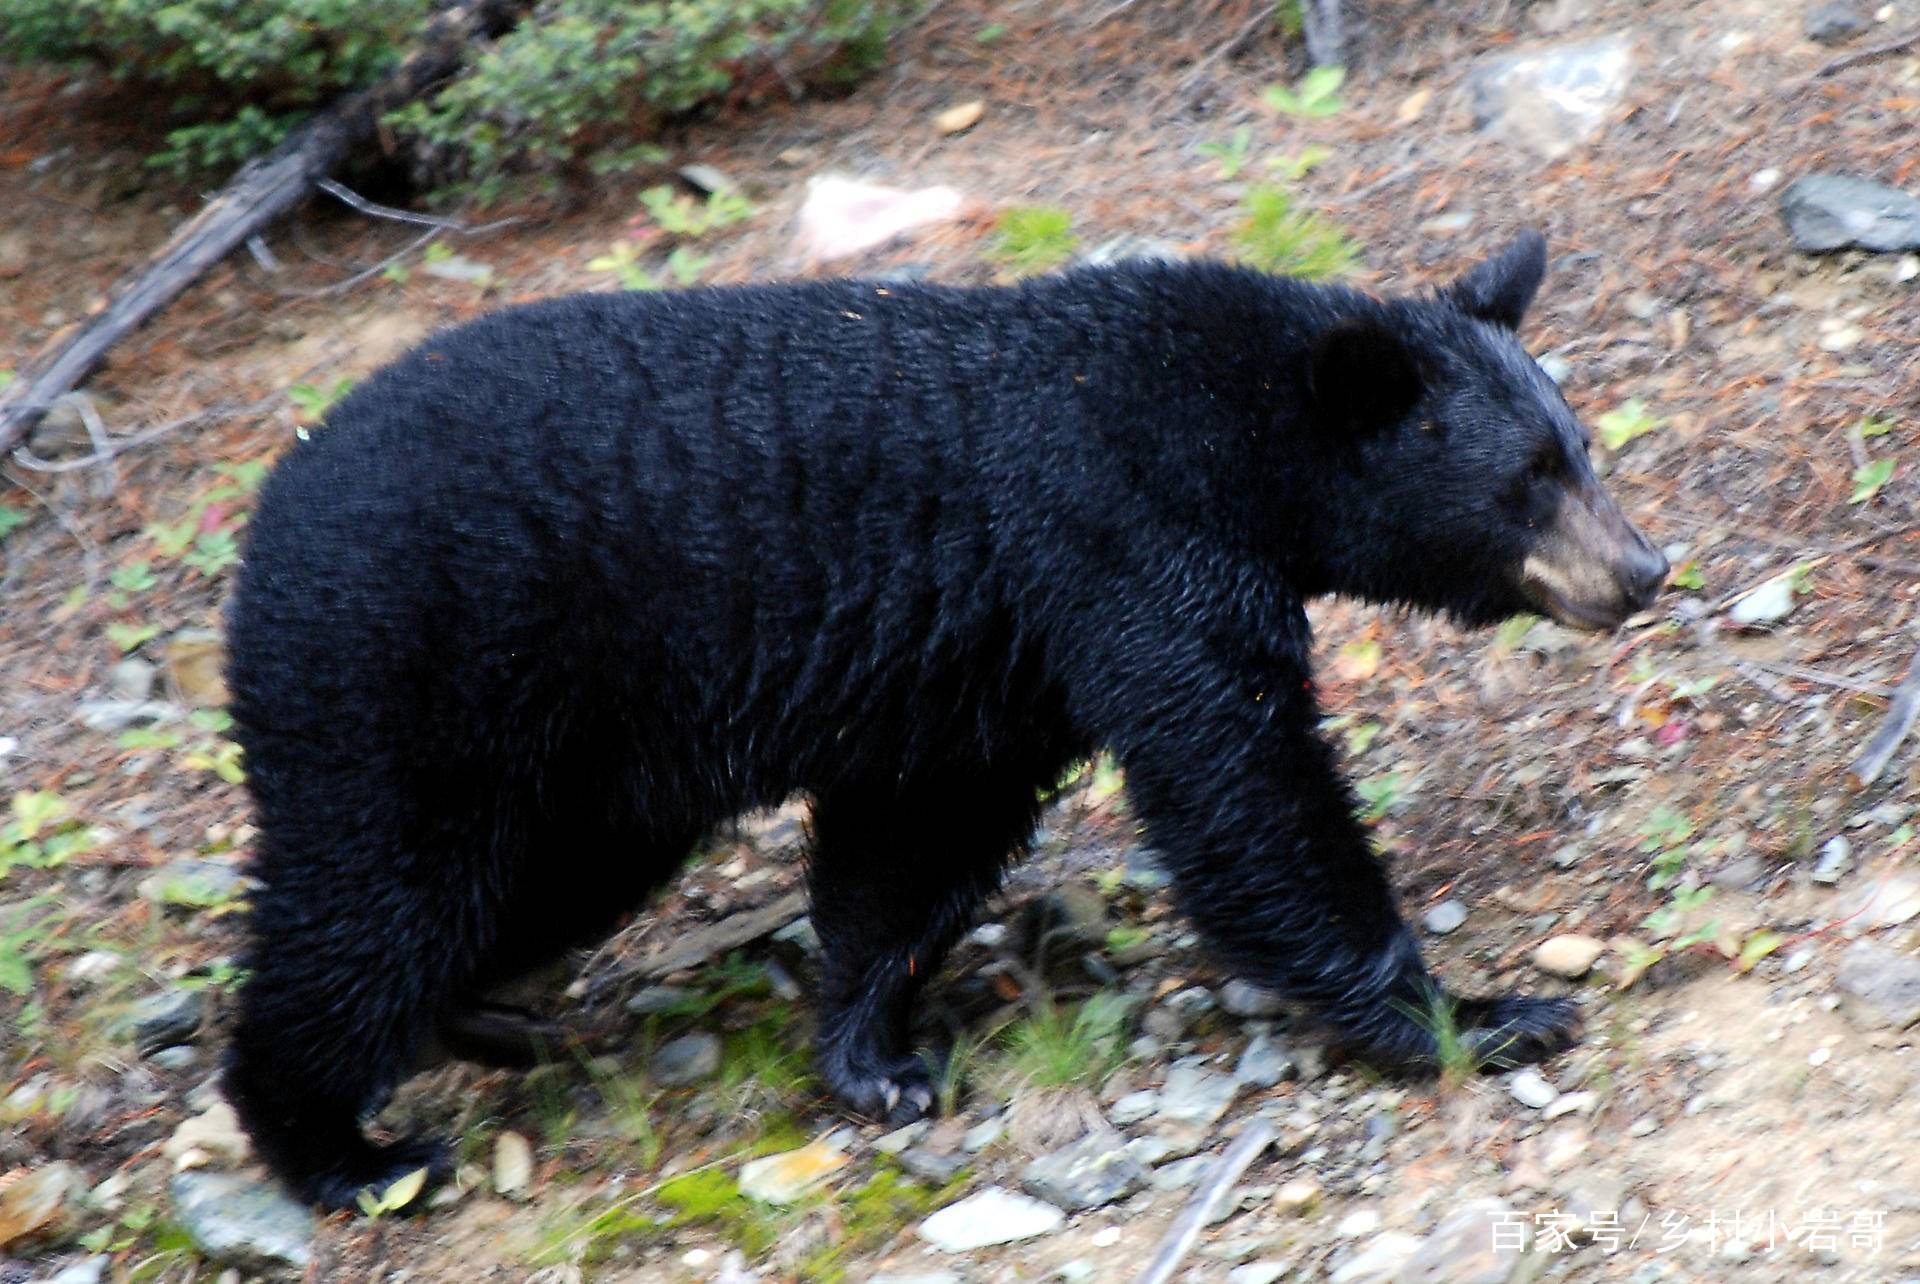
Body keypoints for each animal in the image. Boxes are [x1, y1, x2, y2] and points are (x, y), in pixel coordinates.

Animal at [224, 230, 1666, 1205]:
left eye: (1579, 444)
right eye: (1530, 478)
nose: (1644, 569)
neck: (1234, 437)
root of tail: (267, 517)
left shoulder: (998, 657)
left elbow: (916, 843)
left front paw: (873, 1056)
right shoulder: (1126, 545)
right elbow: (1246, 795)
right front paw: (1479, 1013)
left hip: (582, 762)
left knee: (535, 885)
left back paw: (486, 1019)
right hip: (410, 679)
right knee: (374, 903)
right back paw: (341, 1149)